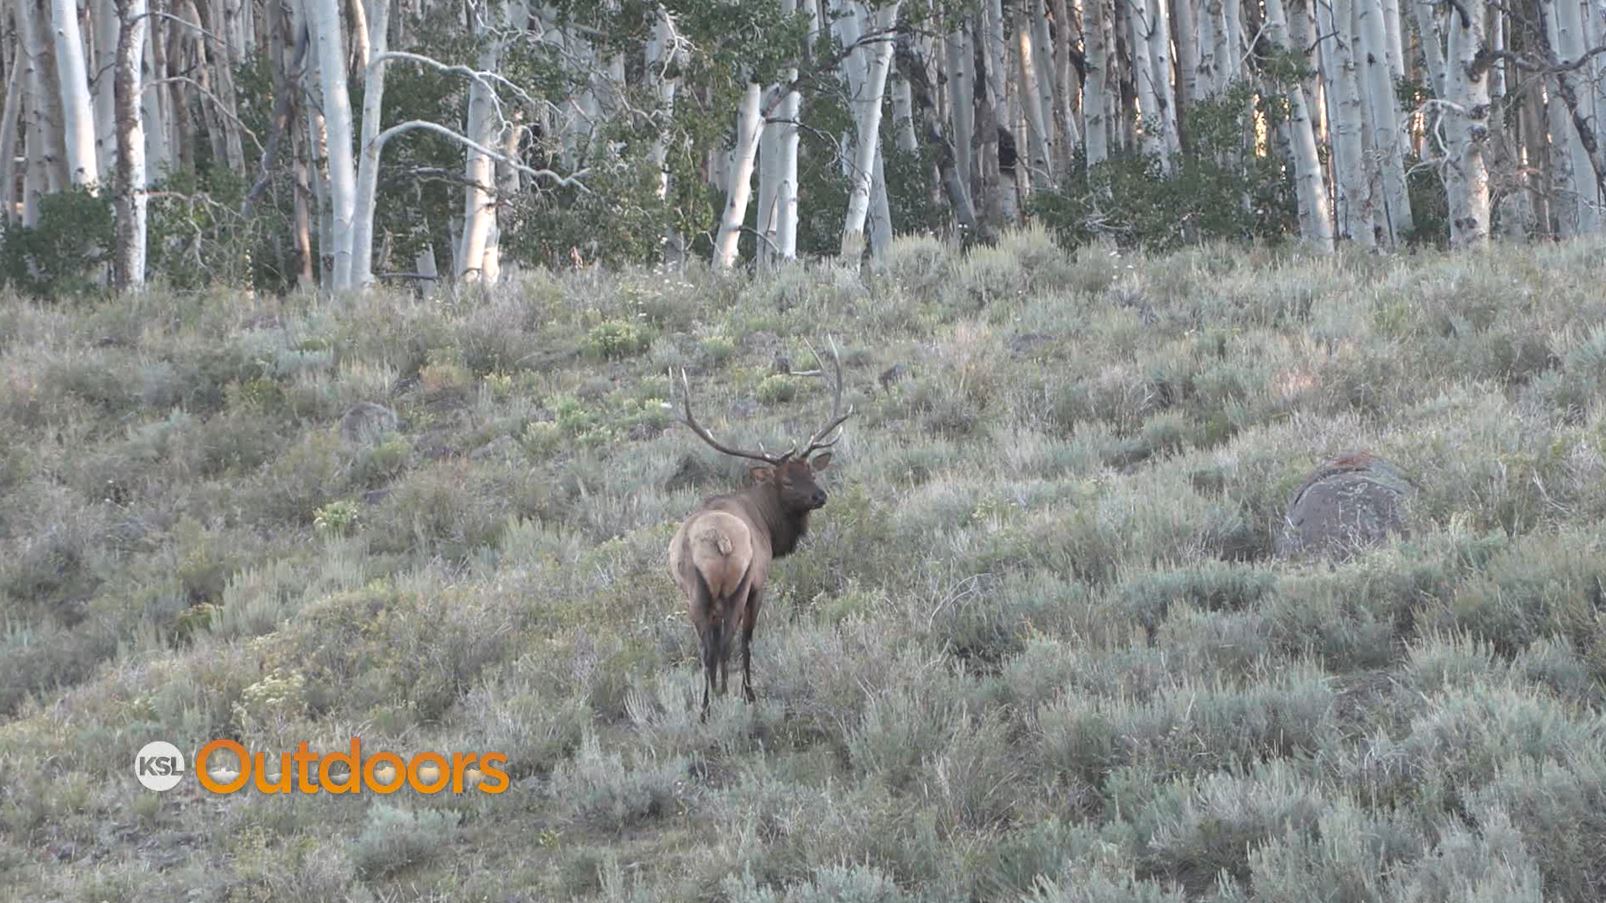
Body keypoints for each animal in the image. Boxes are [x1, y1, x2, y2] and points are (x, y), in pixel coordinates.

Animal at [667, 340, 851, 719]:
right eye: (786, 481)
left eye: (812, 471)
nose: (820, 496)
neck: (769, 525)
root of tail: (717, 539)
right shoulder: (760, 582)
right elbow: (747, 641)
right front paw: (746, 695)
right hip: (739, 585)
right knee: (729, 643)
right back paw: (738, 698)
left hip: (695, 592)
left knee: (707, 649)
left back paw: (706, 709)